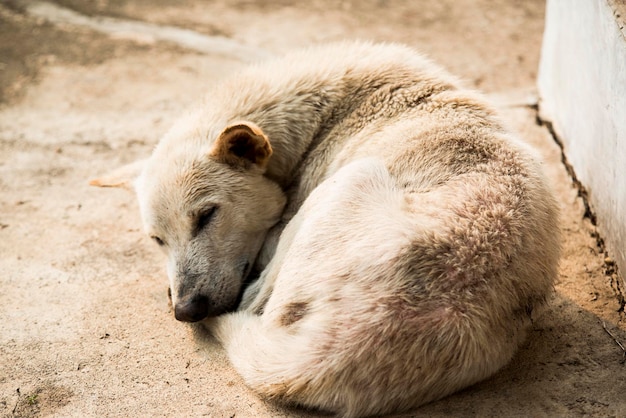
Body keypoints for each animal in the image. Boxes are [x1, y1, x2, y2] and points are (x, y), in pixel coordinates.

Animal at [92, 41, 560, 418]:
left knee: (256, 299)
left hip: (347, 181)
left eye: (206, 215)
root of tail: (338, 348)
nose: (186, 311)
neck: (322, 115)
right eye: (157, 240)